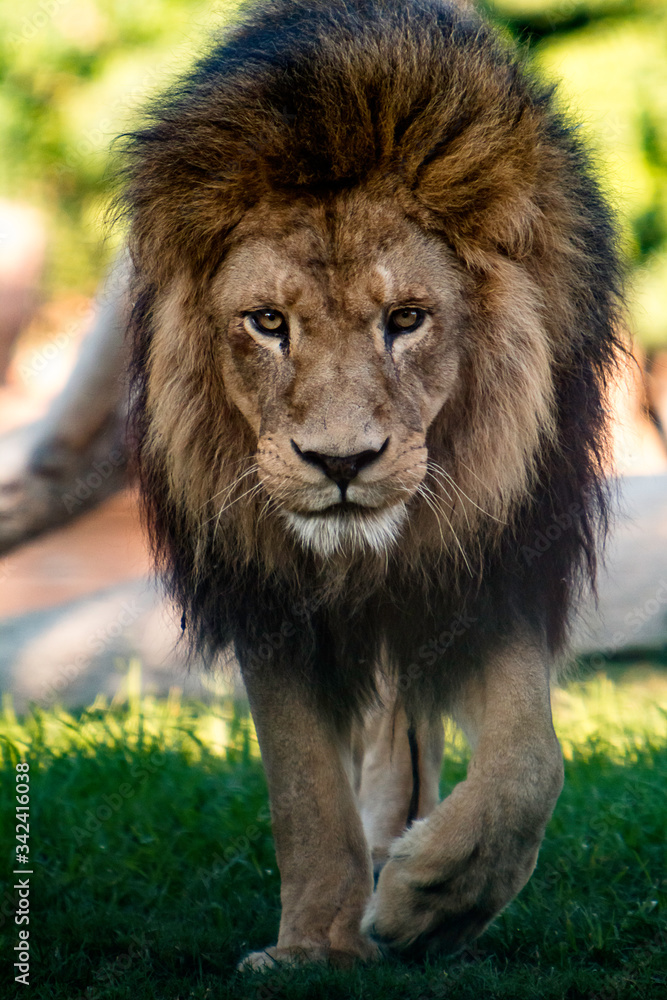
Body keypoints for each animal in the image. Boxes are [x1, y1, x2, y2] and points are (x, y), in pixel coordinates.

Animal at [120, 0, 623, 967]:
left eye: (407, 319)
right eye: (266, 323)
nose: (341, 462)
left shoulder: (490, 568)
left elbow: (528, 766)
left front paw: (428, 901)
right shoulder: (266, 593)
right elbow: (304, 790)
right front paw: (314, 946)